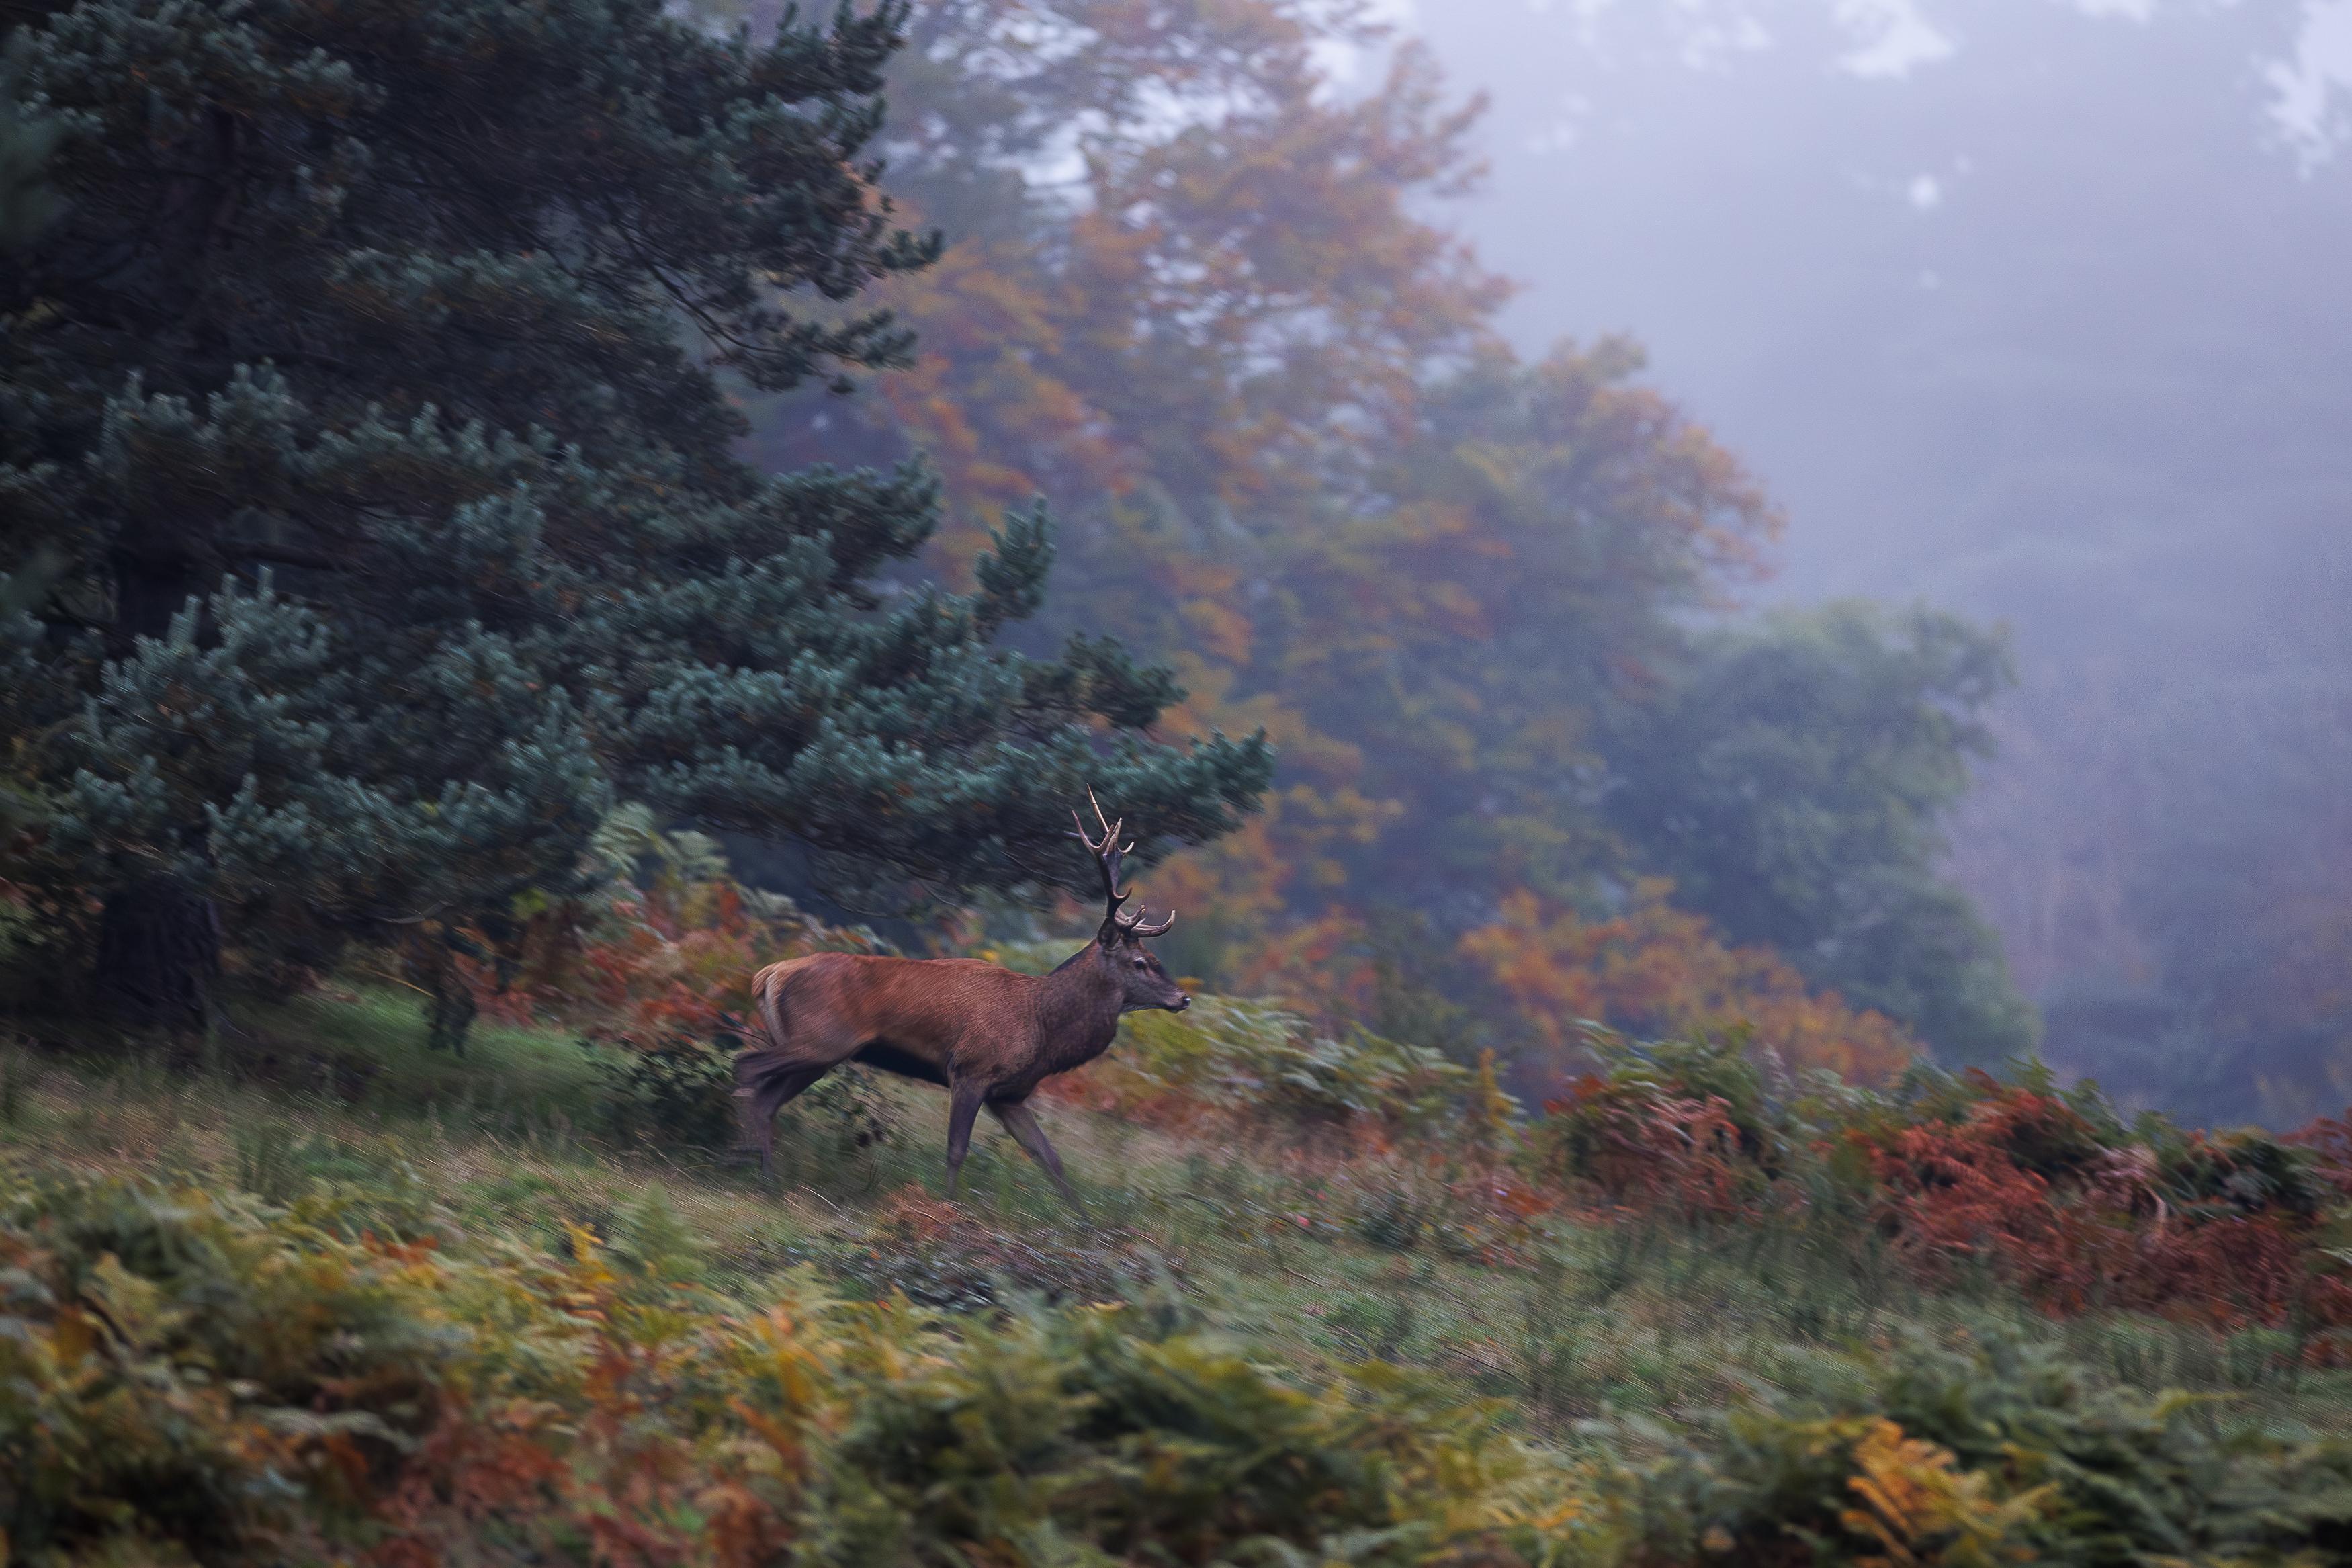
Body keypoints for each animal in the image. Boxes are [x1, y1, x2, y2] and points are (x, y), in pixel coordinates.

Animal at [732, 794, 1187, 1211]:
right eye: (1140, 963)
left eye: (1155, 959)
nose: (1182, 998)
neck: (1042, 1028)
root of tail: (767, 975)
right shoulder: (971, 1068)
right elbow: (956, 1149)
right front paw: (948, 1207)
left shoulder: (1010, 1095)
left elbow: (1050, 1158)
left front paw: (1084, 1225)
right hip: (821, 1040)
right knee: (747, 1069)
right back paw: (757, 1172)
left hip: (820, 1054)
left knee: (767, 1098)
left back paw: (764, 1171)